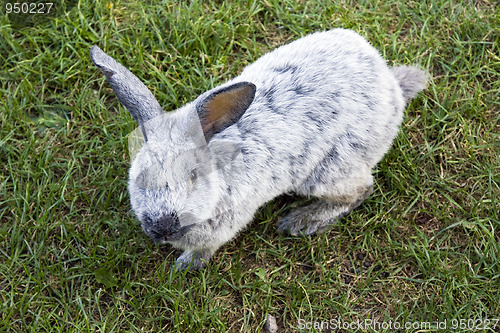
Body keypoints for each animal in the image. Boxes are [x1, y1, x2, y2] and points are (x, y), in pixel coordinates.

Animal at [90, 29, 426, 270]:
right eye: (139, 177)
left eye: (193, 176)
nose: (162, 227)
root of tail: (392, 89)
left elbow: (205, 249)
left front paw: (184, 266)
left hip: (328, 170)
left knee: (361, 190)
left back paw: (300, 221)